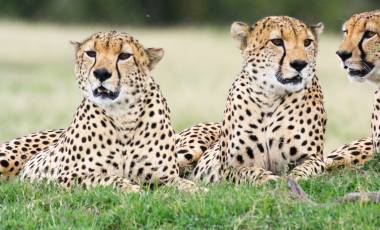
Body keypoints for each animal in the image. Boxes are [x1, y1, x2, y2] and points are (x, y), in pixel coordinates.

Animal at [1, 30, 202, 192]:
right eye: (91, 53)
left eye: (124, 56)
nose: (101, 74)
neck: (124, 116)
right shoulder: (64, 178)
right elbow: (105, 178)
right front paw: (131, 188)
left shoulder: (163, 177)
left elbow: (185, 184)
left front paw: (198, 190)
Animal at [178, 15, 326, 185]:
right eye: (277, 41)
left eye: (307, 42)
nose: (300, 64)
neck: (270, 97)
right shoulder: (228, 167)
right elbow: (251, 172)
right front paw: (270, 179)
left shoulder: (314, 158)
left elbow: (304, 170)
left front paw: (292, 180)